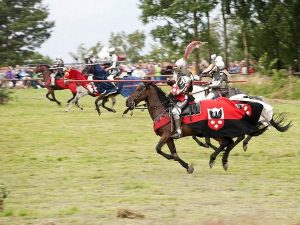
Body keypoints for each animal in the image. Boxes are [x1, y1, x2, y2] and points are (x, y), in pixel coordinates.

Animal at [125, 82, 268, 172]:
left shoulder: (166, 135)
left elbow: (158, 149)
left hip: (215, 132)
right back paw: (223, 161)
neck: (163, 110)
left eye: (139, 89)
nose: (127, 101)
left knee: (228, 142)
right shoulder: (169, 138)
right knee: (228, 143)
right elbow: (173, 154)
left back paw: (214, 159)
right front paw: (188, 167)